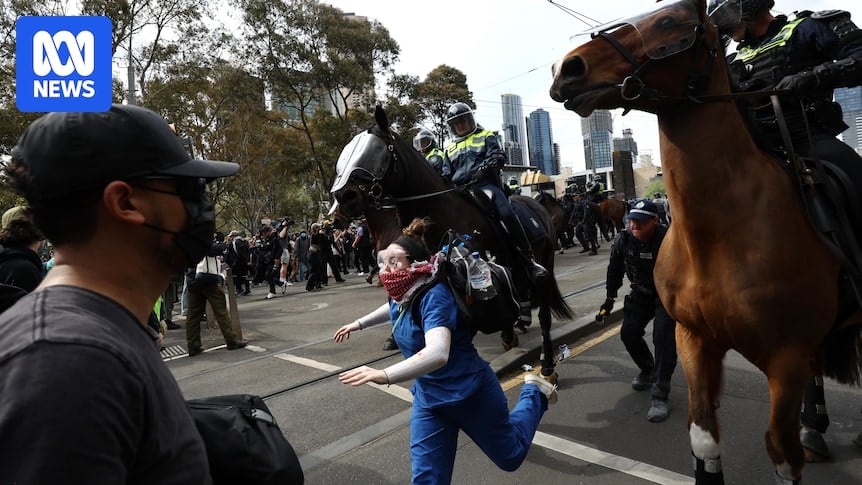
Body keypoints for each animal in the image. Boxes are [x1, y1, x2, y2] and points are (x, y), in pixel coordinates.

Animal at [330, 106, 572, 378]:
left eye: (378, 151)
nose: (343, 198)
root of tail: (538, 206)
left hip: (544, 266)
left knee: (543, 314)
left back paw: (547, 364)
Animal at [552, 1, 862, 482]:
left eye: (670, 21)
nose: (568, 68)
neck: (719, 236)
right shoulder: (694, 338)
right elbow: (704, 439)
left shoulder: (786, 359)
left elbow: (782, 454)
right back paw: (815, 426)